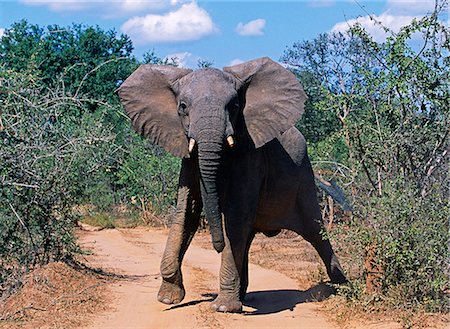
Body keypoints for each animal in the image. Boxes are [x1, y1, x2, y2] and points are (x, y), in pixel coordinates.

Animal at [118, 57, 346, 312]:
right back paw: (244, 295)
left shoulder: (251, 155)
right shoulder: (188, 158)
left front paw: (223, 307)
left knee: (315, 231)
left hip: (304, 177)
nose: (215, 245)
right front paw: (168, 298)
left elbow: (234, 217)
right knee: (249, 237)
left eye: (235, 106)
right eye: (183, 106)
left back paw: (342, 288)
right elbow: (186, 213)